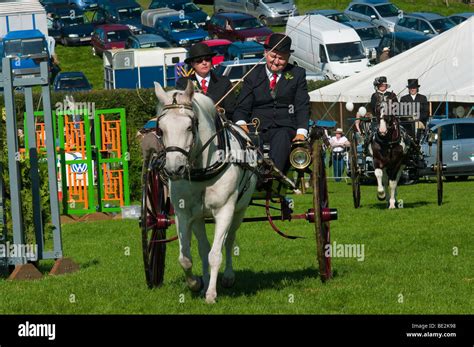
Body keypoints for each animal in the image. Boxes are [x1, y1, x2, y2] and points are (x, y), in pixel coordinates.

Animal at [154, 81, 258, 304]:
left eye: (189, 126)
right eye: (161, 129)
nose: (174, 169)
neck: (203, 169)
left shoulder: (226, 210)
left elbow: (215, 254)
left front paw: (211, 294)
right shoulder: (184, 214)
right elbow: (186, 257)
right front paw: (196, 283)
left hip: (239, 211)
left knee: (228, 241)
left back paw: (227, 277)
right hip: (199, 218)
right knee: (203, 247)